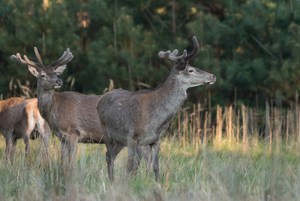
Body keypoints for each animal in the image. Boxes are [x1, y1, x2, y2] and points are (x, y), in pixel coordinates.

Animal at [10, 47, 151, 166]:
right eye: (43, 75)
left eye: (56, 74)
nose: (59, 81)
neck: (55, 110)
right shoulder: (61, 137)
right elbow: (63, 160)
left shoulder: (73, 132)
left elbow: (72, 161)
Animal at [96, 36, 216, 182]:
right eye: (190, 70)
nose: (212, 76)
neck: (157, 120)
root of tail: (100, 101)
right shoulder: (132, 136)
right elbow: (130, 165)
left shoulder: (156, 140)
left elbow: (155, 166)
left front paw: (157, 183)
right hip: (107, 133)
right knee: (109, 156)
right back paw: (112, 180)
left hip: (120, 140)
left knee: (111, 155)